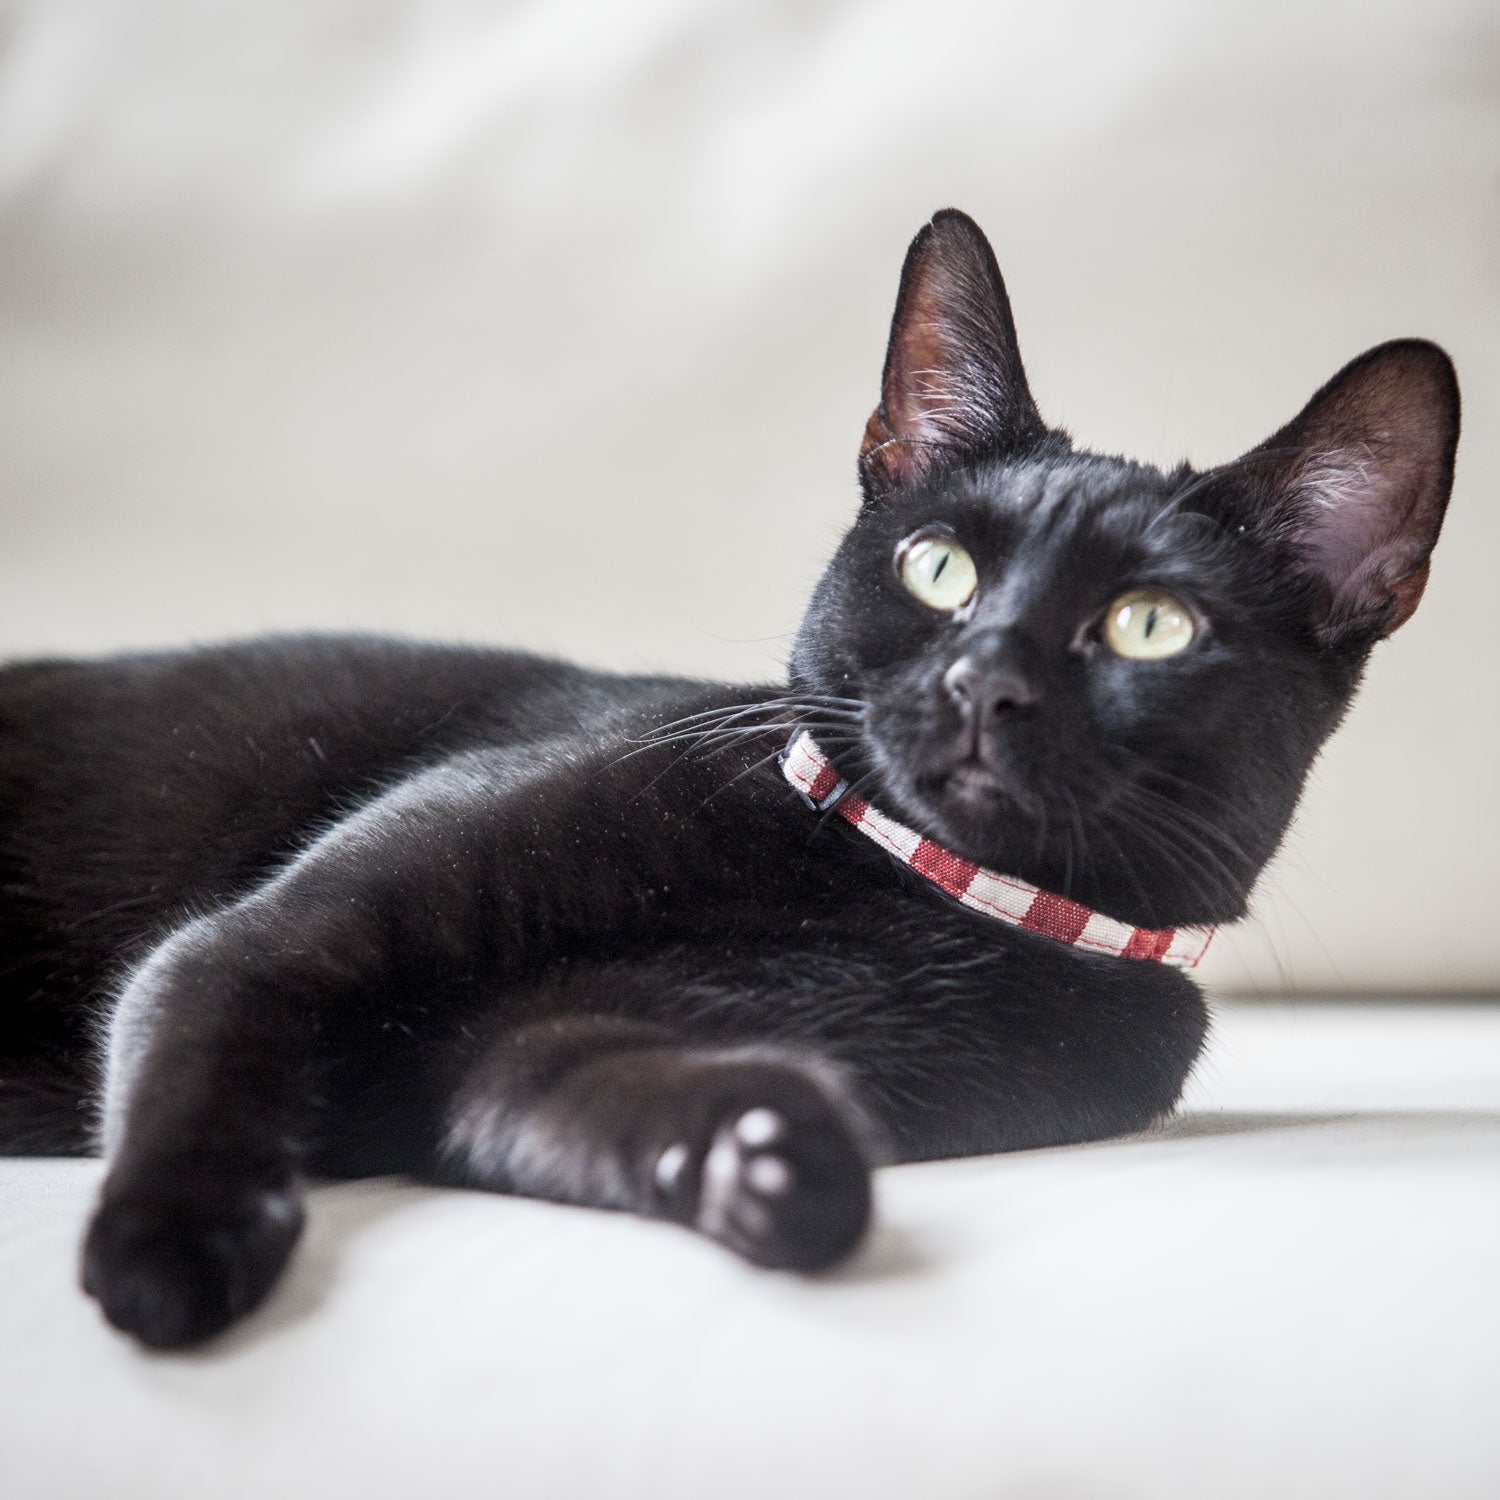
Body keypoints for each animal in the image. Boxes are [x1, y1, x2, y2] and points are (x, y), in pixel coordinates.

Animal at [0, 208, 1452, 1350]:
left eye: (1152, 625)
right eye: (940, 568)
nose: (984, 679)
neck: (888, 892)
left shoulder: (532, 1059)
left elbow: (576, 1096)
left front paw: (772, 1160)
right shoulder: (282, 936)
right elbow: (213, 1030)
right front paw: (166, 1255)